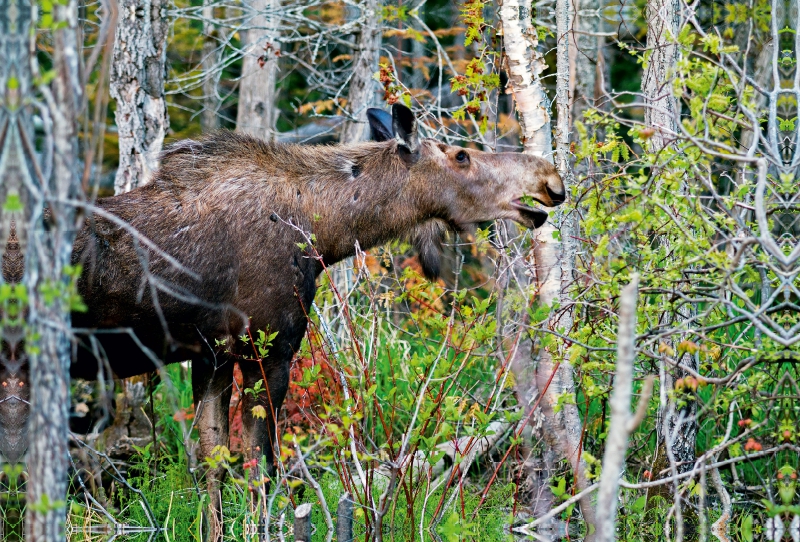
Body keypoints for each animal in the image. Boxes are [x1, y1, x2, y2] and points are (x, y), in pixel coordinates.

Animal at [70, 105, 568, 532]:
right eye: (461, 156)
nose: (550, 179)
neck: (323, 234)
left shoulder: (212, 355)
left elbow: (214, 461)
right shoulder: (270, 348)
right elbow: (260, 470)